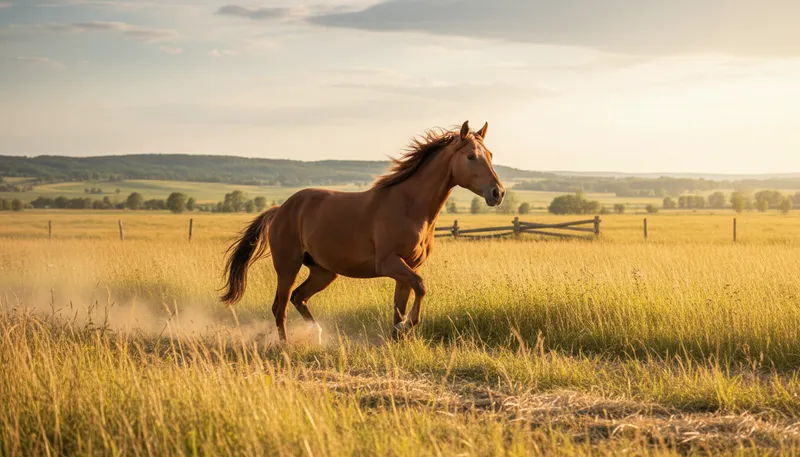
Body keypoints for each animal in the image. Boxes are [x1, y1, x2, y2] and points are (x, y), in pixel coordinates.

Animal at [220, 120, 505, 343]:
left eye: (490, 155)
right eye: (471, 156)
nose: (498, 193)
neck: (409, 206)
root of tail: (280, 209)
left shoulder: (406, 268)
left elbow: (399, 307)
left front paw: (398, 337)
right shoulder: (389, 263)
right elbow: (421, 287)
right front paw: (408, 326)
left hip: (323, 272)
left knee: (298, 298)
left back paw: (318, 335)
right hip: (287, 267)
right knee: (280, 307)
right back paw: (286, 346)